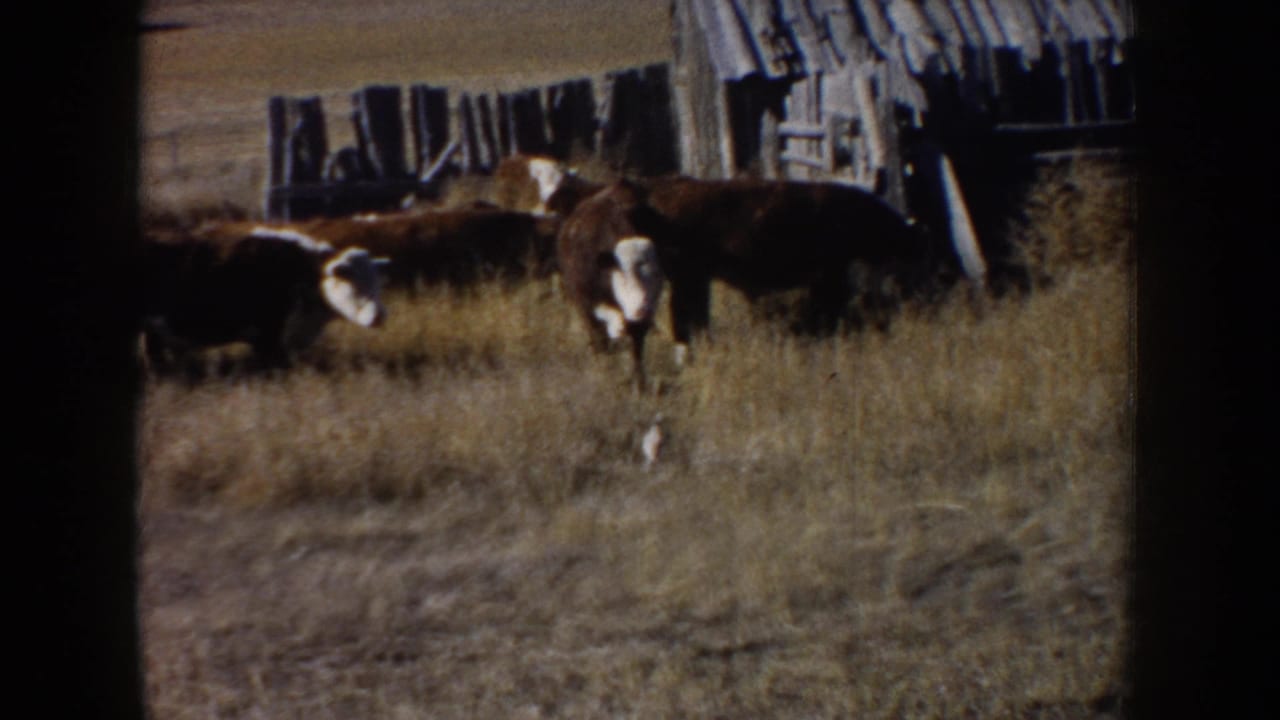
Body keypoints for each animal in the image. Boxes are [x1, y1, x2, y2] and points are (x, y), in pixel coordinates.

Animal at [556, 179, 668, 389]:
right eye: (623, 275)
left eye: (656, 273)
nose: (641, 307)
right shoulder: (587, 304)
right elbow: (600, 341)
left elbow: (636, 348)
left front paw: (639, 383)